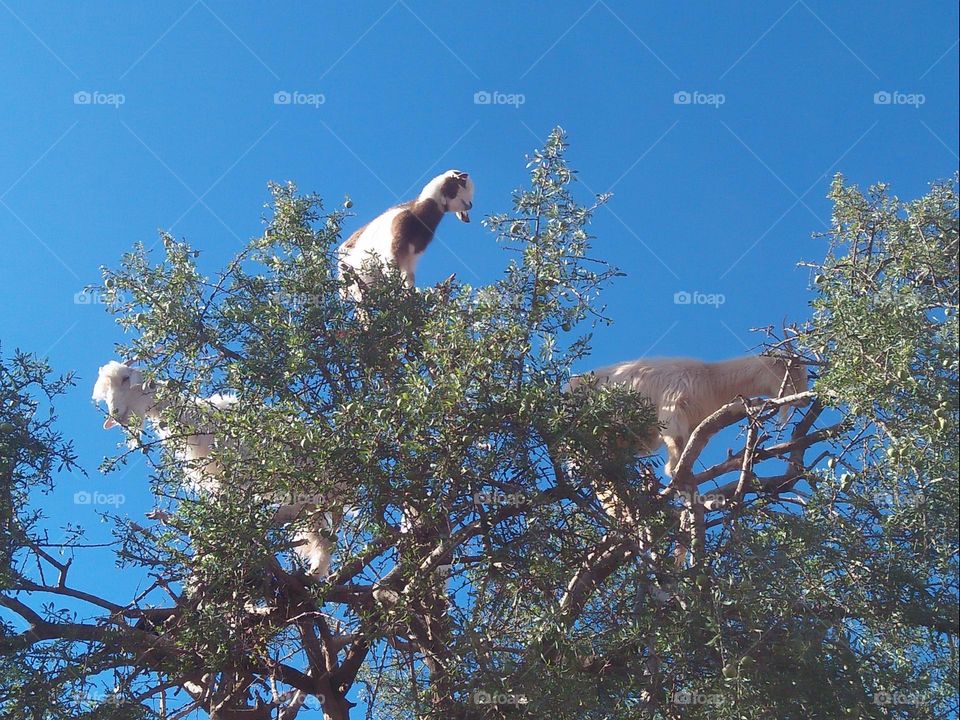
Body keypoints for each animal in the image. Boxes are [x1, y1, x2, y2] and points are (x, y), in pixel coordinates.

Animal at [91, 360, 338, 580]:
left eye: (126, 379)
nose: (116, 414)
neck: (199, 421)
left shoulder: (238, 475)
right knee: (320, 536)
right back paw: (313, 573)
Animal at [336, 169, 474, 300]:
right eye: (463, 185)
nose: (470, 205)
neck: (417, 213)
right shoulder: (395, 246)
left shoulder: (411, 257)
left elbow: (410, 278)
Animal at [568, 354, 808, 478]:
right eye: (793, 368)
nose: (804, 398)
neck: (711, 380)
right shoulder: (673, 407)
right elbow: (676, 443)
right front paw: (675, 473)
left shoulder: (695, 424)